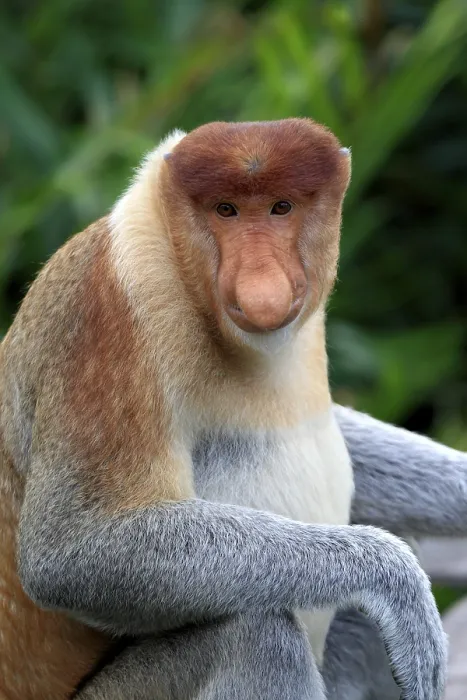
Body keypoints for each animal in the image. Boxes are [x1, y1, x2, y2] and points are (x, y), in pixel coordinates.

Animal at [0, 119, 448, 700]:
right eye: (226, 210)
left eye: (281, 207)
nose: (262, 284)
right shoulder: (107, 314)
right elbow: (69, 553)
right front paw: (395, 581)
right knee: (256, 633)